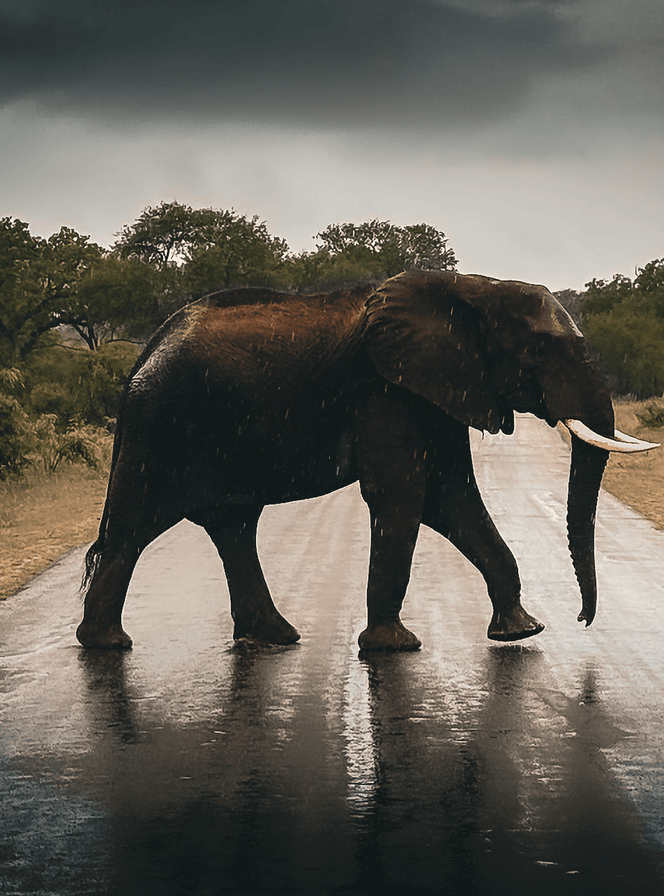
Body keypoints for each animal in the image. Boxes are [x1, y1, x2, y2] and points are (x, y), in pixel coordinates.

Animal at [76, 270, 657, 651]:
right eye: (538, 350)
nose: (583, 620)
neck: (474, 288)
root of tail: (145, 351)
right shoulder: (385, 390)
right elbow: (404, 495)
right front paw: (393, 646)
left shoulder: (435, 390)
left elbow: (452, 498)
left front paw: (521, 631)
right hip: (162, 425)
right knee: (134, 527)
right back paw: (108, 645)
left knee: (233, 525)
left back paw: (275, 637)